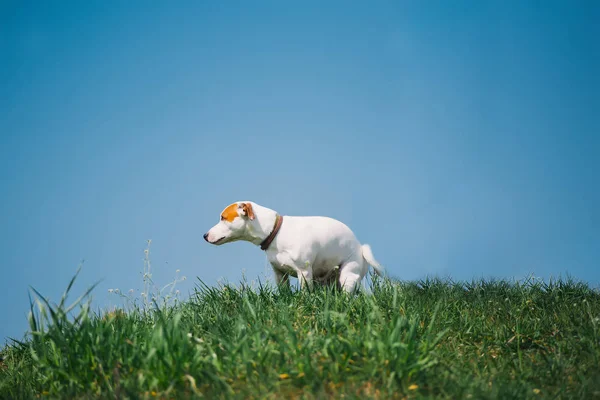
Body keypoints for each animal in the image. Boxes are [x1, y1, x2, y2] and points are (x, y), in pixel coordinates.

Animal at [204, 202, 386, 292]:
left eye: (223, 217)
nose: (204, 235)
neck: (276, 232)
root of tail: (361, 248)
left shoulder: (304, 273)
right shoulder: (280, 274)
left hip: (348, 275)